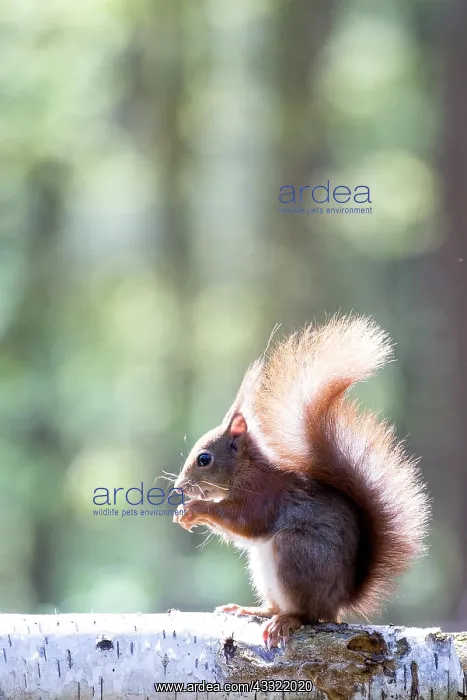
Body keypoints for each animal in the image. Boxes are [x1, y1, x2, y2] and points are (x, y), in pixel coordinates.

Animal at [173, 315, 430, 648]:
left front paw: (194, 508)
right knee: (276, 606)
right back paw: (251, 609)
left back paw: (287, 620)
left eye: (204, 459)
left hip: (295, 552)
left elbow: (244, 521)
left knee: (307, 615)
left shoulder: (263, 495)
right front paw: (183, 511)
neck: (246, 469)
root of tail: (338, 602)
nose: (179, 487)